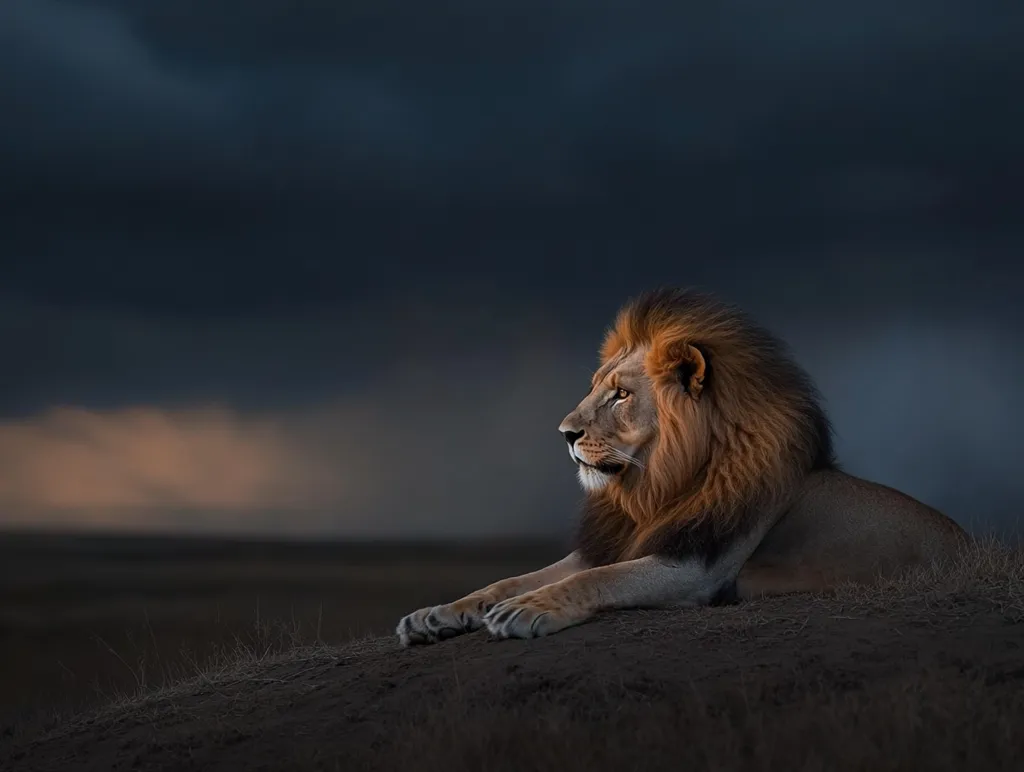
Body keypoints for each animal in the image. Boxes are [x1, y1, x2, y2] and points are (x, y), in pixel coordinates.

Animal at [396, 288, 969, 645]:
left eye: (621, 395)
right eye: (595, 387)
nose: (565, 434)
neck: (655, 486)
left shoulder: (697, 567)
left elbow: (600, 580)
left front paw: (529, 609)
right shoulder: (617, 542)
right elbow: (510, 579)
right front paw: (435, 615)